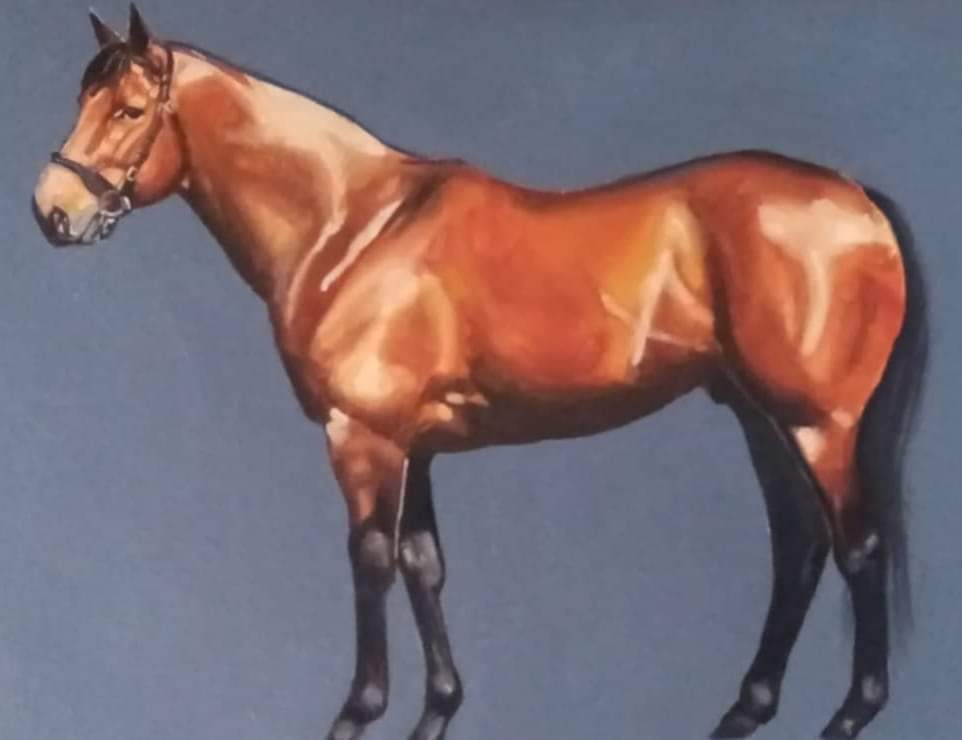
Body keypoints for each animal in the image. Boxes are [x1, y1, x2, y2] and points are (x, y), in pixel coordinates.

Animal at [32, 8, 927, 740]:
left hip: (820, 425)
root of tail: (856, 196)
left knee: (857, 547)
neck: (352, 227)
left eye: (130, 110)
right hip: (758, 418)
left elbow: (372, 561)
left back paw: (851, 713)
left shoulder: (364, 440)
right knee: (799, 548)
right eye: (83, 100)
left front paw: (359, 712)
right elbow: (425, 566)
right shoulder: (416, 446)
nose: (51, 212)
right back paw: (746, 708)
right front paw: (438, 710)